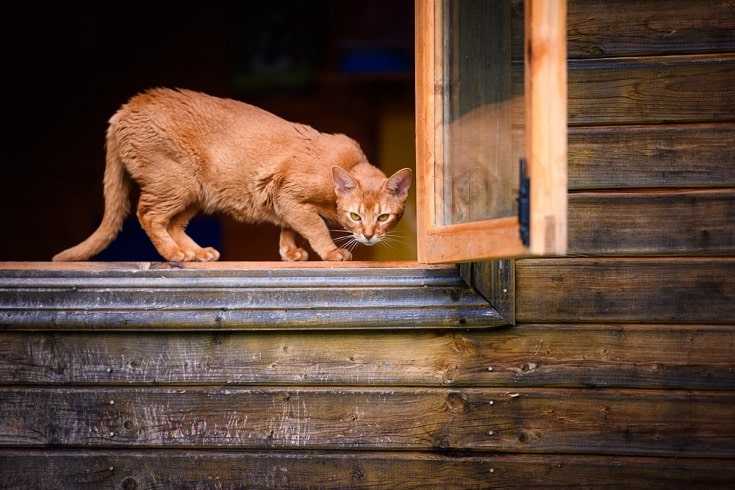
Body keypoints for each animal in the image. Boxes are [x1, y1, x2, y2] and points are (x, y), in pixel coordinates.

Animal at [54, 88, 412, 264]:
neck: (346, 164)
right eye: (355, 216)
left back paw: (197, 253)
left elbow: (290, 226)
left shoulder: (282, 197)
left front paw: (290, 253)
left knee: (174, 224)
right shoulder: (289, 193)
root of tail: (125, 109)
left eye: (383, 217)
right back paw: (174, 254)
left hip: (195, 191)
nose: (369, 235)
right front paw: (331, 252)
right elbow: (315, 226)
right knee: (150, 215)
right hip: (175, 182)